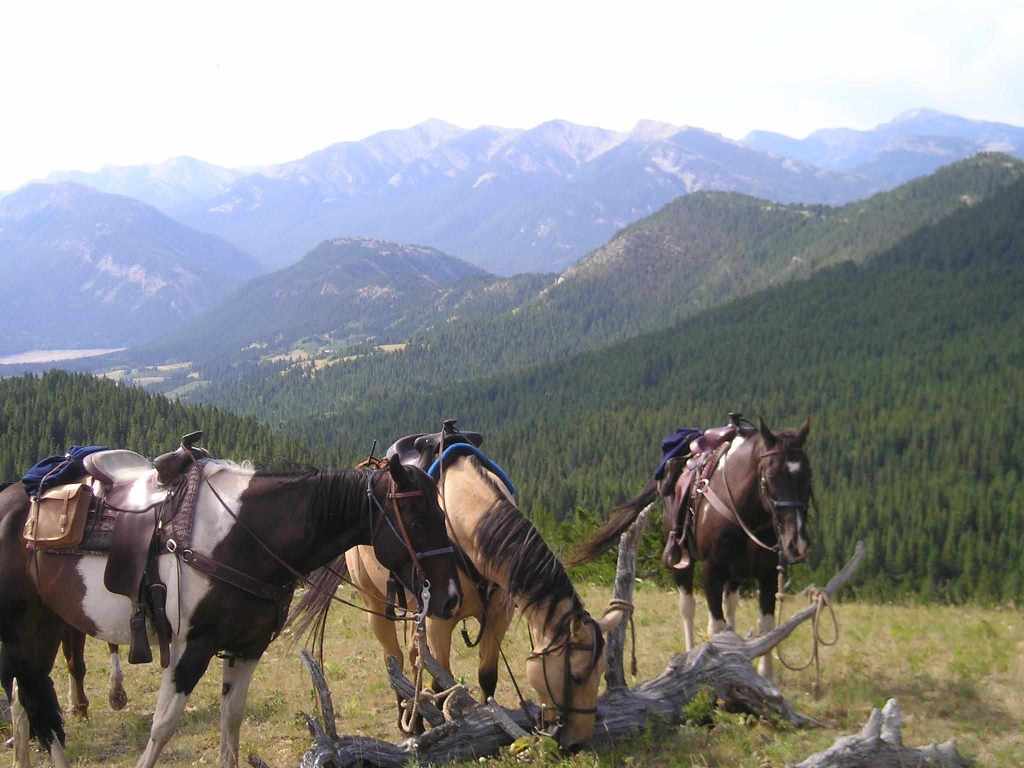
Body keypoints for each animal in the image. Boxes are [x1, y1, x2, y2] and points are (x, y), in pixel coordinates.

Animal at [0, 456, 460, 768]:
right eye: (416, 516)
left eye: (441, 511)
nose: (451, 598)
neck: (247, 535)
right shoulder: (191, 647)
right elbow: (163, 725)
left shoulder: (247, 648)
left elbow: (231, 722)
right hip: (23, 627)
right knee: (34, 699)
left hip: (44, 625)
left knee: (29, 696)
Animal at [284, 421, 626, 753]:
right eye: (575, 676)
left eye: (600, 674)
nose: (578, 741)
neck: (460, 525)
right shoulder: (440, 621)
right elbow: (442, 683)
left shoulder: (498, 616)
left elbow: (486, 677)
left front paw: (493, 721)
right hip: (375, 604)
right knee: (394, 660)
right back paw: (410, 721)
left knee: (414, 658)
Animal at [573, 423, 811, 684]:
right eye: (770, 476)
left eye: (808, 476)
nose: (796, 543)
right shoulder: (712, 572)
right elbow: (715, 627)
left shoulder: (767, 575)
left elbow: (767, 627)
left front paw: (765, 677)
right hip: (682, 563)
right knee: (688, 608)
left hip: (736, 574)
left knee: (731, 605)